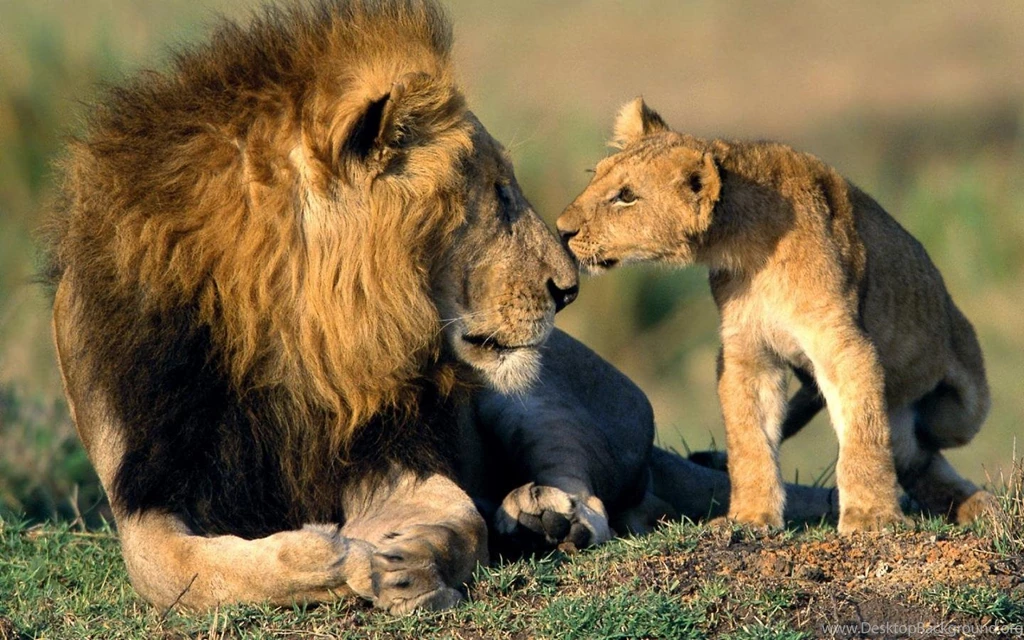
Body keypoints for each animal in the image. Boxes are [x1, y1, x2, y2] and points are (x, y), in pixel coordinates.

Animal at [556, 97, 998, 534]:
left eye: (626, 196)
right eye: (595, 177)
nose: (561, 230)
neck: (746, 247)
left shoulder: (844, 344)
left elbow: (864, 434)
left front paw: (871, 516)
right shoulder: (747, 353)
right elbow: (750, 440)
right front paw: (751, 517)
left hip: (961, 409)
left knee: (923, 445)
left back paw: (979, 504)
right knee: (913, 457)